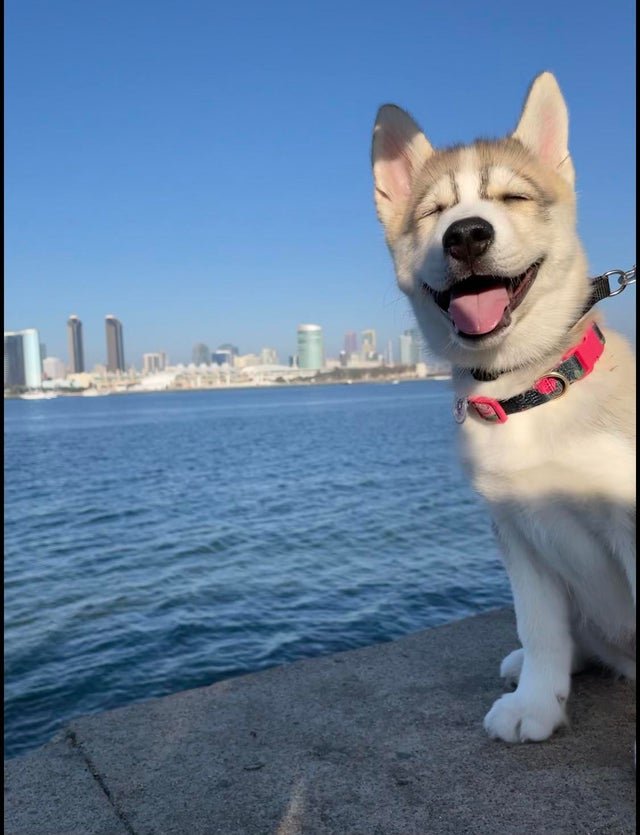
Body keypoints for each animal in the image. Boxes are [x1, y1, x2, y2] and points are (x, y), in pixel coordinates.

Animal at [370, 73, 636, 744]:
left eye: (512, 197)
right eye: (433, 212)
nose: (466, 234)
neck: (527, 391)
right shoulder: (515, 529)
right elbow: (538, 627)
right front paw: (535, 702)